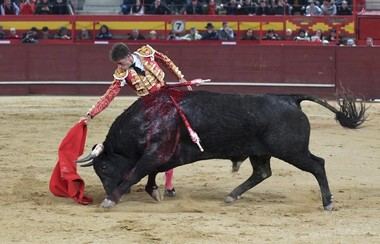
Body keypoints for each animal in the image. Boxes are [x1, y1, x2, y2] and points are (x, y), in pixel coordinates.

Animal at [79, 89, 366, 210]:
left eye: (103, 167)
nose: (107, 190)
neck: (149, 118)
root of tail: (289, 98)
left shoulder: (155, 154)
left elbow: (136, 172)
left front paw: (111, 200)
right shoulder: (163, 156)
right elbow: (151, 172)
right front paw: (154, 191)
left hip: (292, 151)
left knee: (318, 165)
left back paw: (328, 203)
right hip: (260, 152)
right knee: (262, 173)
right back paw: (231, 196)